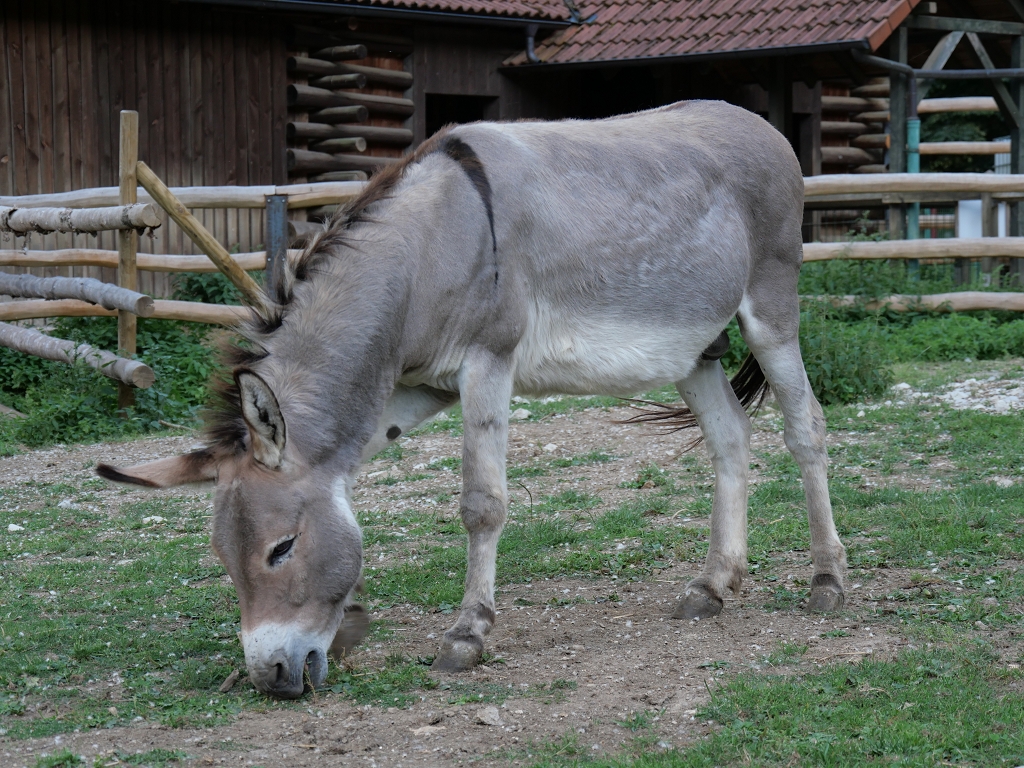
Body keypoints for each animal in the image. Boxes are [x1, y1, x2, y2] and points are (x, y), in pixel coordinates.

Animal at [97, 100, 846, 699]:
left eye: (281, 549)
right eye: (223, 557)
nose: (270, 678)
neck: (426, 255)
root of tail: (754, 121)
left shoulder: (489, 362)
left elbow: (481, 504)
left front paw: (467, 634)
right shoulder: (410, 388)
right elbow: (346, 477)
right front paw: (351, 622)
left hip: (771, 308)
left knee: (805, 429)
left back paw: (827, 583)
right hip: (692, 346)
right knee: (731, 439)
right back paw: (712, 586)